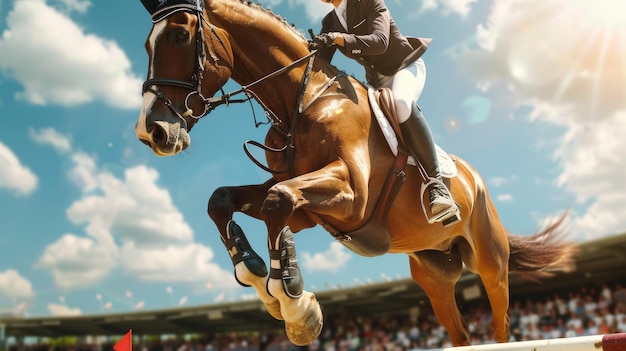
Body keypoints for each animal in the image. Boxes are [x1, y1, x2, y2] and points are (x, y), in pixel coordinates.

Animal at [134, 0, 572, 346]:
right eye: (147, 44)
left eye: (179, 36)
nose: (151, 131)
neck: (303, 99)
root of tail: (476, 179)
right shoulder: (307, 209)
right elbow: (225, 199)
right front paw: (262, 279)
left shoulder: (352, 195)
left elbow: (278, 201)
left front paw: (294, 303)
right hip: (434, 273)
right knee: (461, 332)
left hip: (491, 263)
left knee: (501, 323)